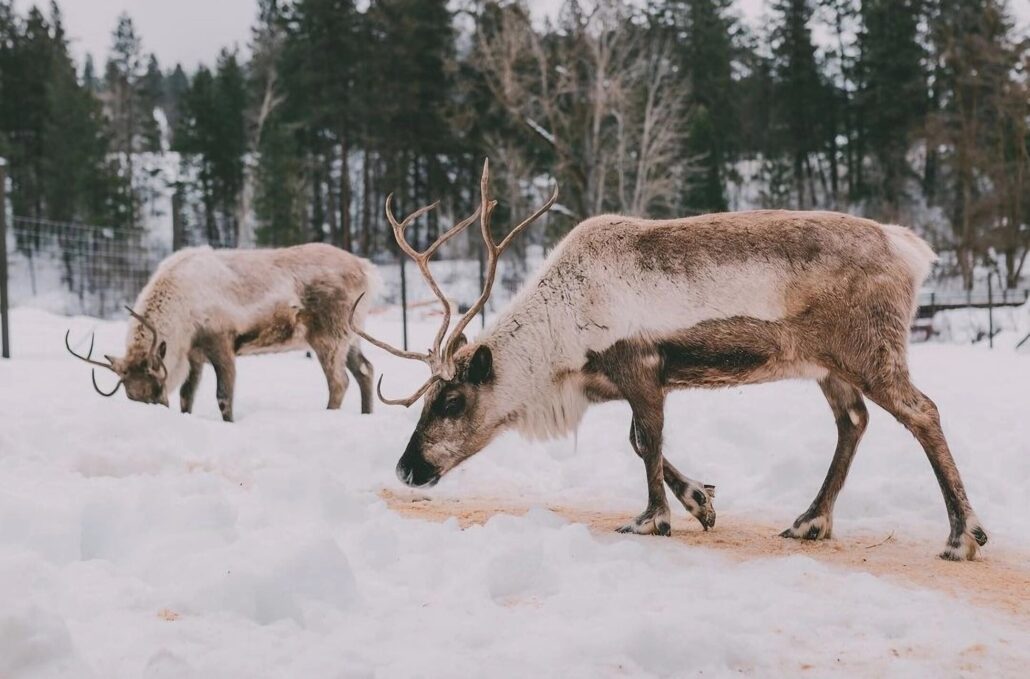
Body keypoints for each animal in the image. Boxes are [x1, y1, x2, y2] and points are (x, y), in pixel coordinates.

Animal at [66, 243, 379, 422]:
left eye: (156, 387)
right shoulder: (194, 355)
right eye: (131, 395)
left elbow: (224, 398)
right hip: (353, 335)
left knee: (339, 382)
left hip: (329, 335)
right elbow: (187, 396)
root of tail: (368, 270)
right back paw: (367, 415)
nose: (155, 413)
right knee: (366, 370)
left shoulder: (222, 342)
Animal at [357, 159, 988, 562]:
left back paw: (962, 536)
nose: (406, 469)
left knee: (923, 412)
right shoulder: (623, 381)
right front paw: (701, 502)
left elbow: (648, 441)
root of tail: (913, 248)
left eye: (452, 400)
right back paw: (811, 521)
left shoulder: (640, 368)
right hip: (827, 366)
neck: (561, 350)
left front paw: (652, 519)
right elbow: (642, 444)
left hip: (871, 352)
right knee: (853, 421)